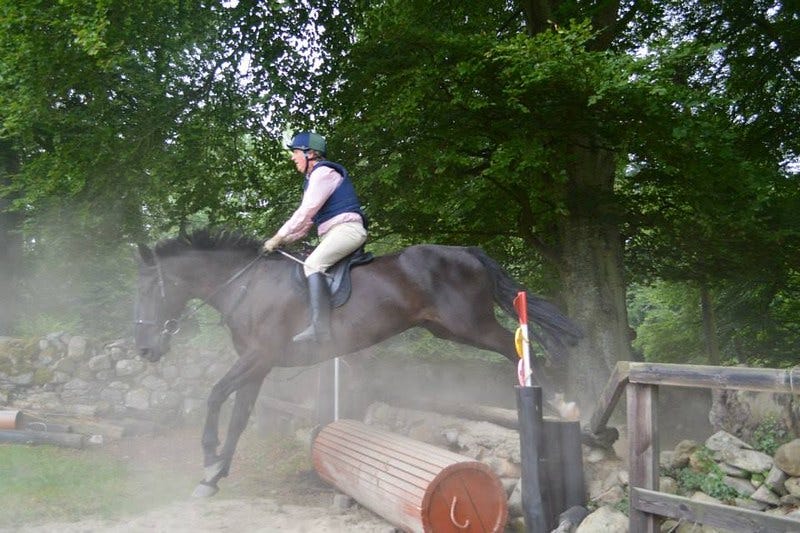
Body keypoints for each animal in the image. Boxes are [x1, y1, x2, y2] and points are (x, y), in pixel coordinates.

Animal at [133, 228, 582, 497]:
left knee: (517, 346)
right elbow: (240, 415)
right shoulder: (258, 365)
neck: (246, 286)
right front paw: (214, 476)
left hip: (470, 325)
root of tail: (466, 252)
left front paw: (209, 459)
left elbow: (214, 396)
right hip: (446, 330)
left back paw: (560, 401)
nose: (144, 350)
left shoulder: (258, 355)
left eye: (151, 290)